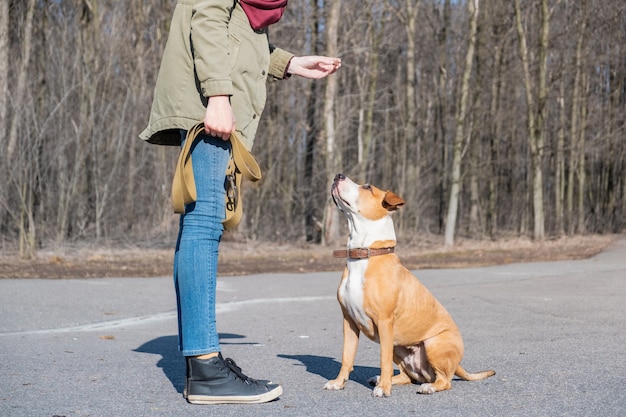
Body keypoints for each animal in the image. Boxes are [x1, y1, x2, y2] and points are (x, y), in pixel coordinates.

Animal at [322, 174, 492, 394]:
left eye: (367, 187)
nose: (338, 175)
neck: (364, 254)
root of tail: (458, 365)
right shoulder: (349, 321)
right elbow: (347, 356)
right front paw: (338, 382)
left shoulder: (385, 322)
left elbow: (383, 359)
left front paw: (383, 390)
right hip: (399, 346)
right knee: (408, 377)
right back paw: (381, 379)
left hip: (433, 343)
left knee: (445, 380)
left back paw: (427, 387)